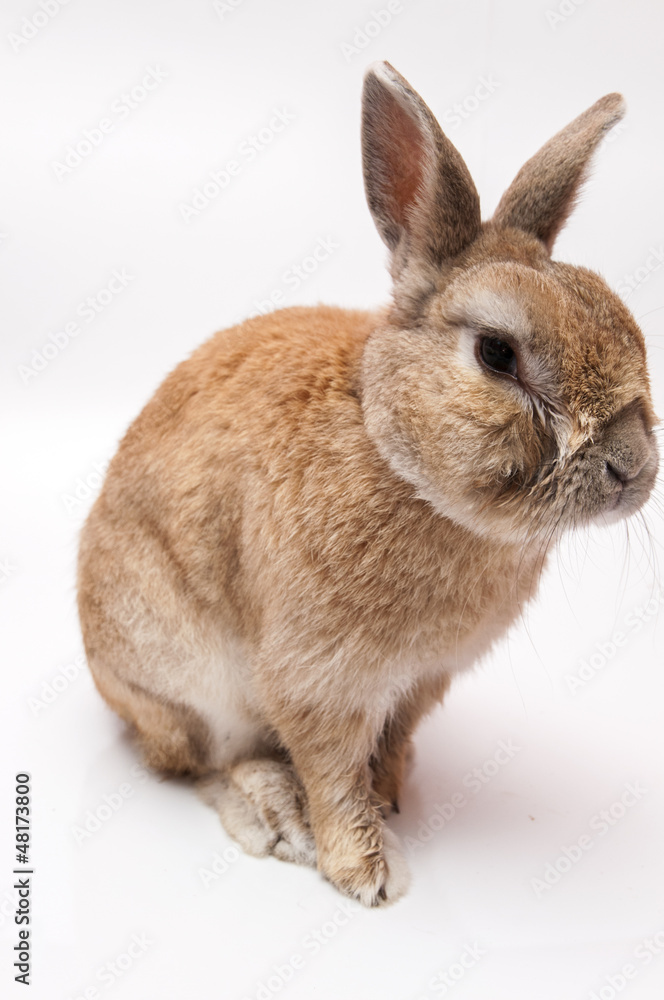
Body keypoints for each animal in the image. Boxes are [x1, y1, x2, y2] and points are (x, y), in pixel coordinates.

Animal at [77, 61, 659, 907]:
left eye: (623, 322)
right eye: (496, 354)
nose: (634, 467)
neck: (396, 457)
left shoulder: (420, 683)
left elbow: (386, 745)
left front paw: (392, 793)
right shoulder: (316, 682)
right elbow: (331, 774)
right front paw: (365, 872)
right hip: (183, 678)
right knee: (196, 761)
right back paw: (275, 815)